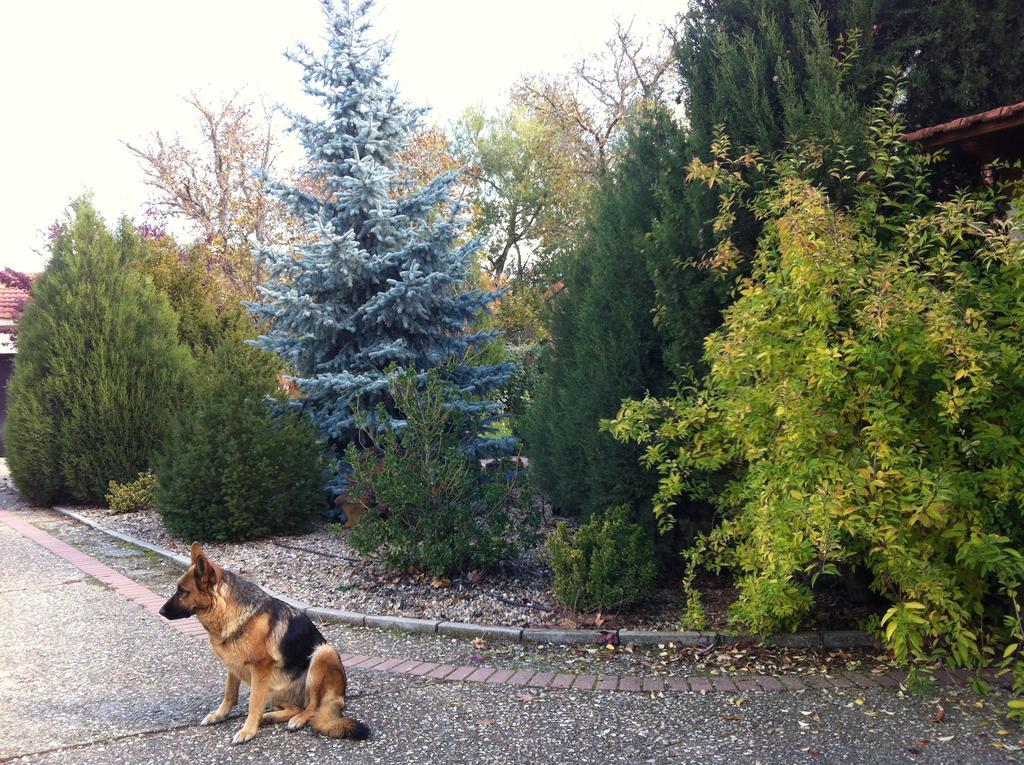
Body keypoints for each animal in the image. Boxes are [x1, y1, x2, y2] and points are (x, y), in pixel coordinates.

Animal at [157, 540, 370, 745]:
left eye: (182, 591)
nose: (160, 611)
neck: (227, 610)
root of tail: (341, 697)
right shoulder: (233, 665)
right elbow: (229, 694)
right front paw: (219, 715)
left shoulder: (260, 668)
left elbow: (253, 703)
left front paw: (248, 731)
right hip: (274, 688)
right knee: (294, 707)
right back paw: (271, 716)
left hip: (323, 653)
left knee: (313, 705)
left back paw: (298, 719)